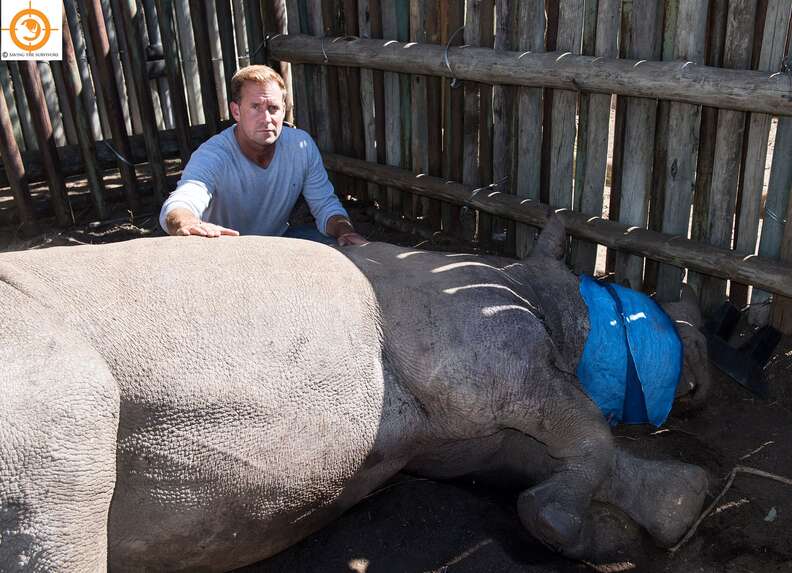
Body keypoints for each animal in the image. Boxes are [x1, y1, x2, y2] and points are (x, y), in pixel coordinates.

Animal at [0, 217, 709, 571]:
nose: (702, 379)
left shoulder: (455, 436)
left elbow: (556, 453)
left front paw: (673, 511)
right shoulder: (494, 369)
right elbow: (588, 429)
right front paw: (558, 526)